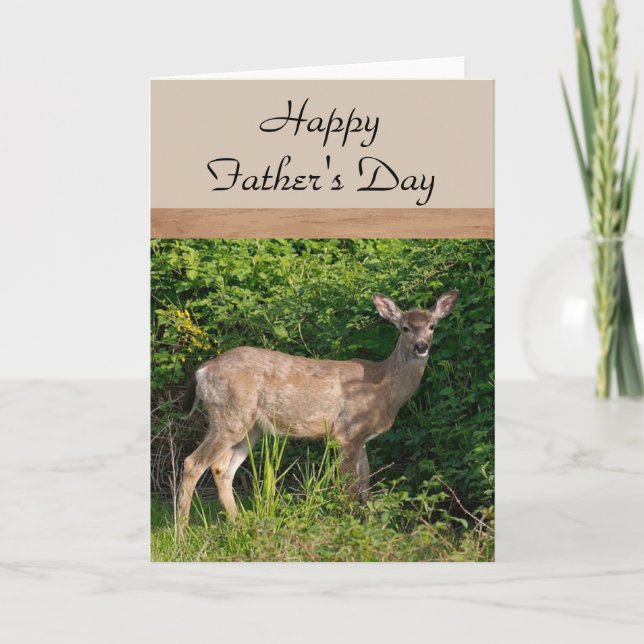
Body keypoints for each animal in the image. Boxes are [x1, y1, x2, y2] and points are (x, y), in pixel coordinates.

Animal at [177, 289, 459, 527]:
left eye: (432, 326)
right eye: (405, 328)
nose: (421, 347)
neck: (383, 388)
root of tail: (204, 371)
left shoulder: (362, 439)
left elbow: (366, 484)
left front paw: (370, 525)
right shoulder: (345, 432)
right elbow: (349, 488)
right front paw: (348, 525)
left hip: (250, 427)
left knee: (222, 469)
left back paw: (238, 525)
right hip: (229, 416)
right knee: (193, 463)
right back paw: (182, 532)